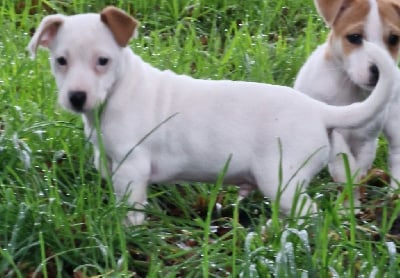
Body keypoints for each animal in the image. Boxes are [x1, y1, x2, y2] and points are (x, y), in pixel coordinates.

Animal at [28, 5, 400, 224]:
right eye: (60, 61)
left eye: (102, 61)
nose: (77, 98)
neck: (118, 90)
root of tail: (318, 110)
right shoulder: (110, 164)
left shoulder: (132, 170)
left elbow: (132, 210)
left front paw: (127, 235)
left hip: (282, 180)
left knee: (308, 213)